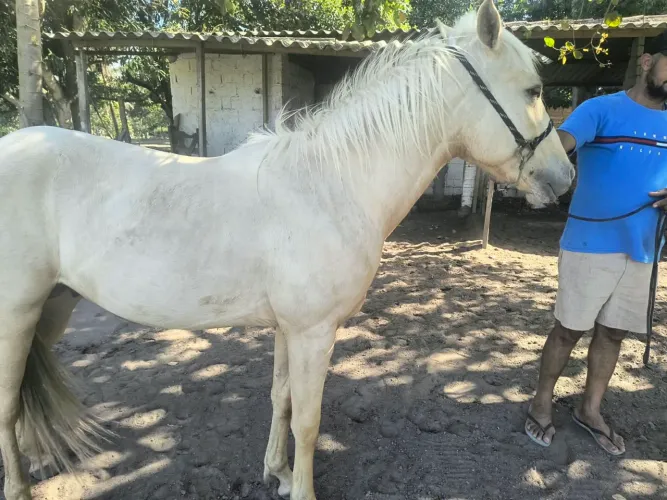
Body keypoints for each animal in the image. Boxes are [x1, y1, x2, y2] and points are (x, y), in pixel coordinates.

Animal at [0, 1, 573, 499]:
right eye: (532, 90)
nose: (565, 176)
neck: (330, 184)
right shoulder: (313, 332)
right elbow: (309, 420)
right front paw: (301, 488)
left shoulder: (287, 329)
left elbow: (280, 400)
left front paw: (275, 472)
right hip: (17, 314)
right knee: (6, 408)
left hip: (53, 307)